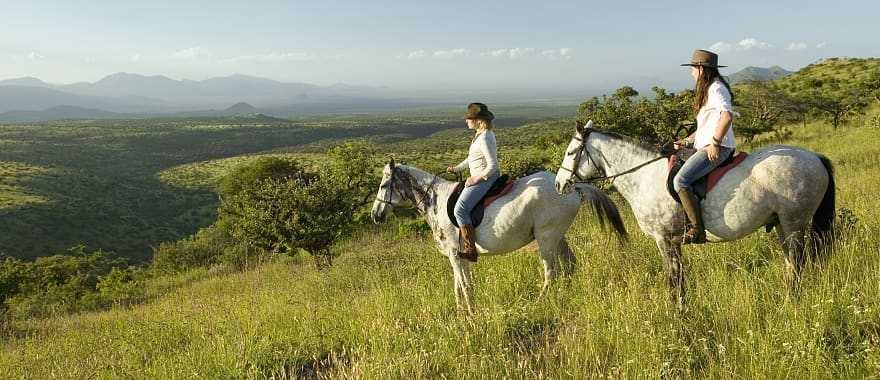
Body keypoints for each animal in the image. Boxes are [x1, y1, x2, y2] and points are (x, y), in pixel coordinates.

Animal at [372, 159, 624, 314]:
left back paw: (540, 301)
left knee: (551, 272)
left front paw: (470, 314)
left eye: (384, 185)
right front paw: (461, 312)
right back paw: (565, 294)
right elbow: (460, 286)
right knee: (569, 264)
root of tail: (571, 188)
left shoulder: (455, 255)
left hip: (546, 238)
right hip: (558, 236)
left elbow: (464, 286)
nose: (376, 215)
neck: (437, 201)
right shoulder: (458, 257)